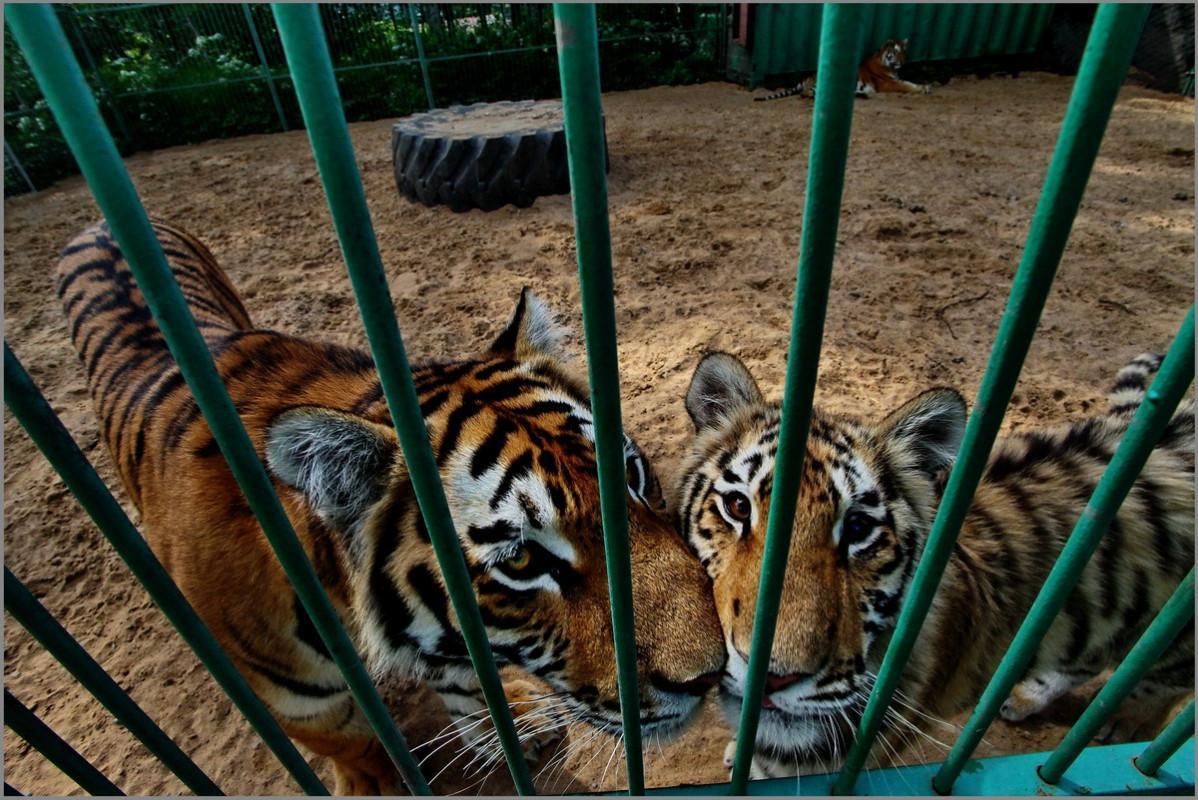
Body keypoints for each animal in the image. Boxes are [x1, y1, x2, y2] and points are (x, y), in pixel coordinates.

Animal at [56, 219, 723, 795]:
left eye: (630, 475)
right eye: (522, 561)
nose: (714, 673)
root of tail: (96, 223)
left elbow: (464, 671)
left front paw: (507, 724)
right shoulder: (297, 704)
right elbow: (355, 743)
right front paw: (377, 783)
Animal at [752, 38, 929, 101]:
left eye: (903, 52)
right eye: (895, 52)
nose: (902, 62)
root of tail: (809, 76)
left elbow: (908, 82)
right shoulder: (888, 83)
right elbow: (907, 85)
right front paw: (924, 88)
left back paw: (862, 95)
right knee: (805, 93)